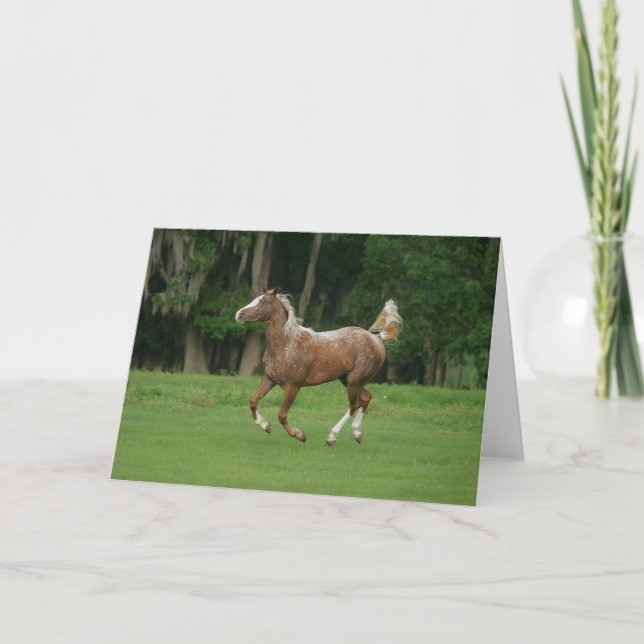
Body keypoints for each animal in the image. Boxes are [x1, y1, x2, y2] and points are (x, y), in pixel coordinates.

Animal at [235, 287, 402, 446]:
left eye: (263, 301)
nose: (238, 314)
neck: (287, 343)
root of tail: (377, 338)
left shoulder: (293, 386)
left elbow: (281, 415)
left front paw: (300, 435)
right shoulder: (270, 379)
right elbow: (253, 401)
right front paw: (266, 426)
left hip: (353, 382)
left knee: (354, 405)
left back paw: (332, 438)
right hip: (349, 380)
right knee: (366, 398)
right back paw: (357, 434)